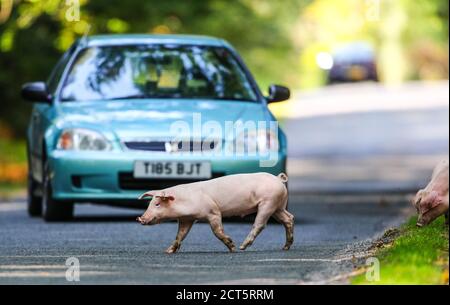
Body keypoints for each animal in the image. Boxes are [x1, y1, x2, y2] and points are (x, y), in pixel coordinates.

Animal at [135, 172, 294, 253]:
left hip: (268, 202)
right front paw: (168, 251)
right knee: (289, 218)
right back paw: (285, 247)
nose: (141, 218)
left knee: (260, 224)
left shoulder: (213, 212)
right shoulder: (187, 219)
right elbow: (180, 235)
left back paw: (242, 247)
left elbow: (217, 231)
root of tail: (278, 179)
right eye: (149, 204)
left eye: (157, 204)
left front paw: (232, 247)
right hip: (278, 206)